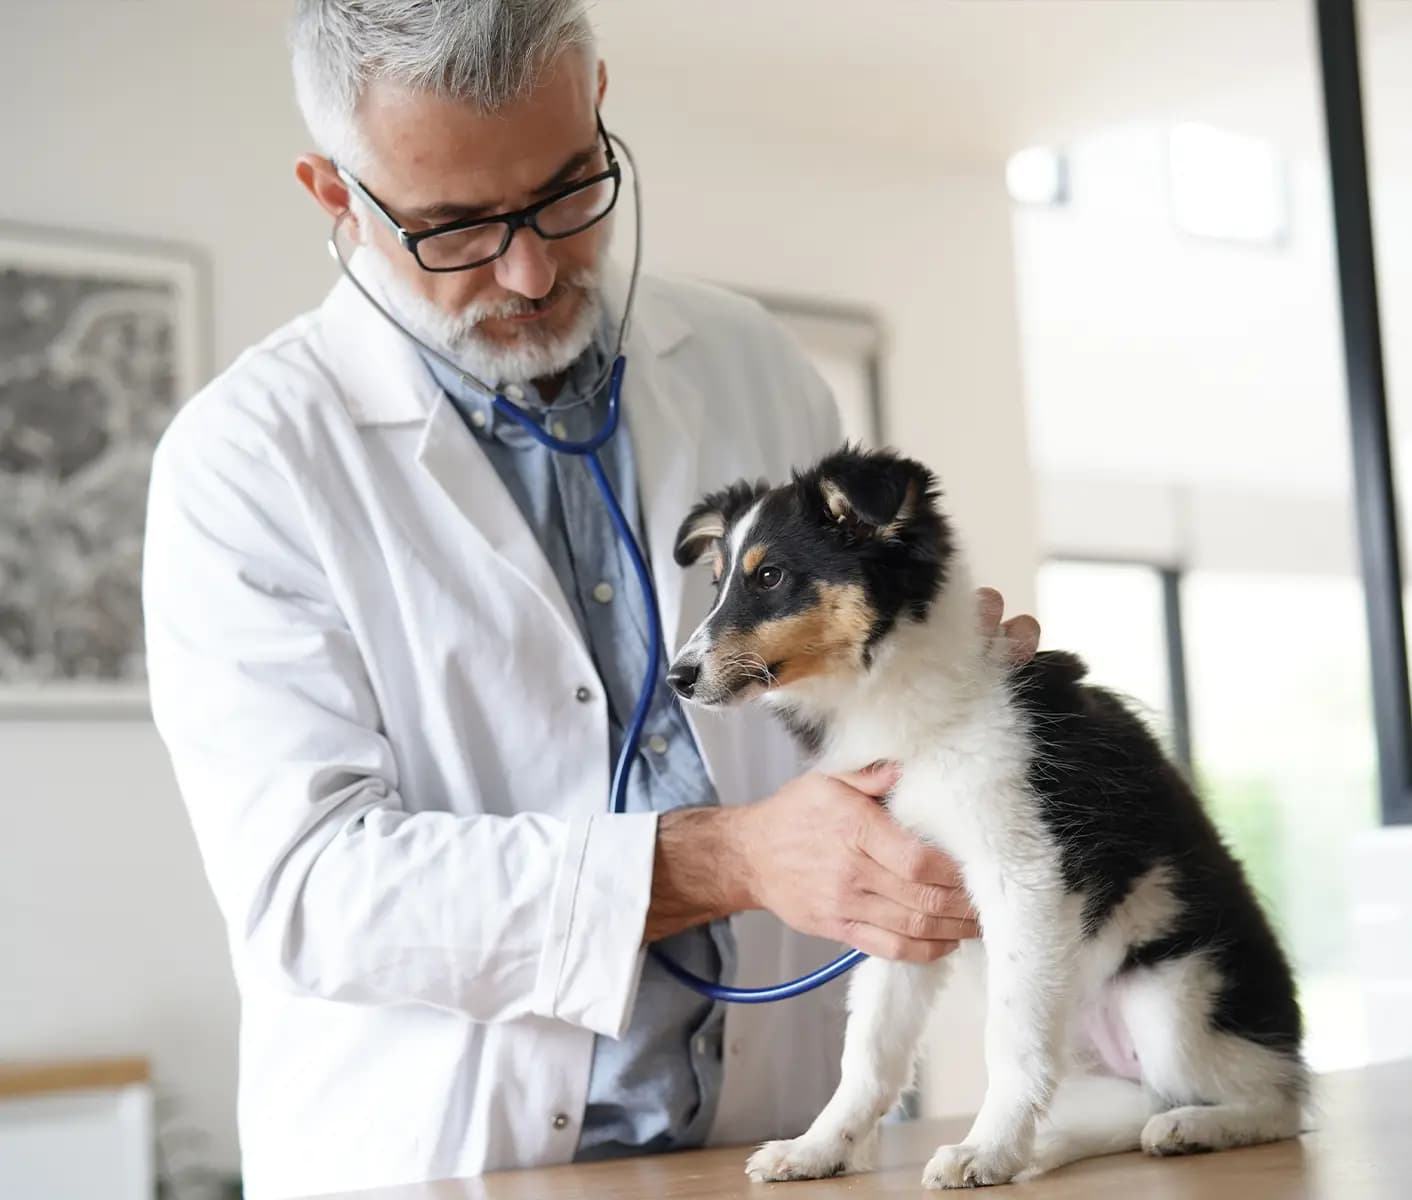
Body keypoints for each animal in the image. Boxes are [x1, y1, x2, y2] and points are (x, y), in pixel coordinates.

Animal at [666, 443, 1304, 1185]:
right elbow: (870, 1049)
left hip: (1173, 999)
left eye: (769, 576)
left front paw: (986, 1151)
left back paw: (1194, 1126)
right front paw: (819, 1148)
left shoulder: (1024, 874)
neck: (910, 707)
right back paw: (1057, 1144)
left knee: (1275, 1101)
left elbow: (1011, 1037)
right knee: (1132, 1102)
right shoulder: (892, 898)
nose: (677, 679)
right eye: (716, 583)